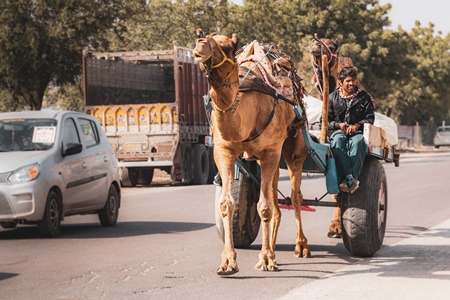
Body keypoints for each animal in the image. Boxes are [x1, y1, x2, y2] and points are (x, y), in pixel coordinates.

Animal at [192, 32, 312, 274]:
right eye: (203, 36)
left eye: (227, 47)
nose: (199, 45)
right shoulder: (224, 151)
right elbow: (227, 204)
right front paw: (228, 262)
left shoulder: (270, 151)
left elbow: (263, 206)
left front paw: (265, 259)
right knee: (275, 198)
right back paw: (274, 248)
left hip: (293, 146)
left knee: (295, 195)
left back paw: (301, 246)